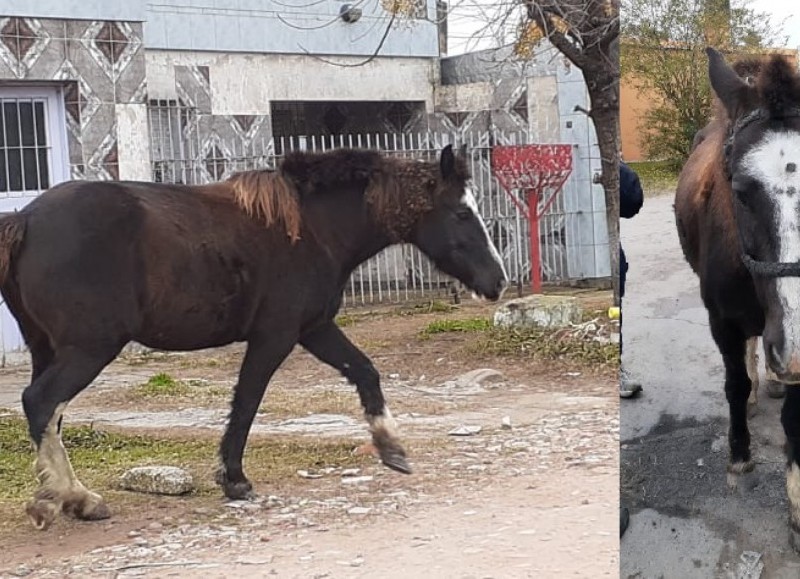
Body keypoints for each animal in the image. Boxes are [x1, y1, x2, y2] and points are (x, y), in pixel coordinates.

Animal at [0, 144, 510, 532]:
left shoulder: (315, 329)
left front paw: (392, 448)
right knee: (40, 402)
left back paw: (62, 496)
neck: (311, 228)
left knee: (50, 413)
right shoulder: (275, 336)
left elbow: (365, 371)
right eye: (462, 212)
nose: (498, 281)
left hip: (50, 348)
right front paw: (234, 479)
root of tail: (25, 220)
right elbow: (246, 402)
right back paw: (70, 497)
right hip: (88, 350)